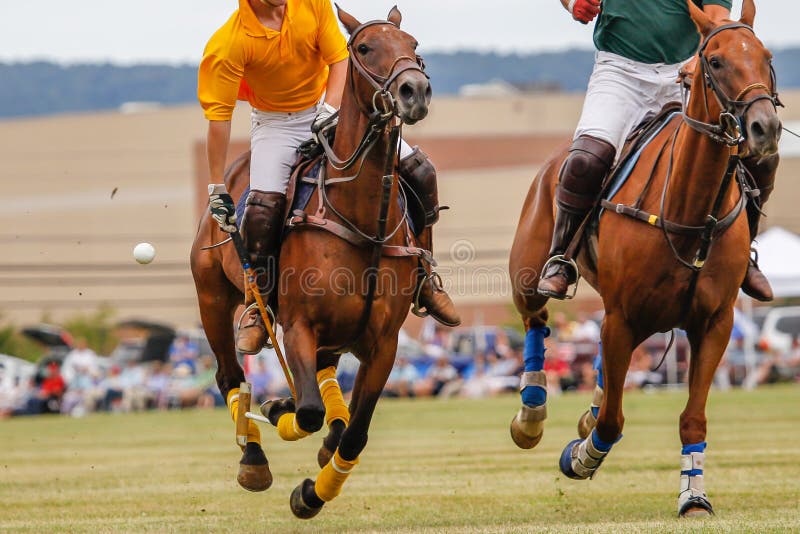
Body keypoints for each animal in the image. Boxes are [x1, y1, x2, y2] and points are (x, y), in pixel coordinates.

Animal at [190, 6, 432, 520]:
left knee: (324, 383)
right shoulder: (298, 325)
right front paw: (280, 414)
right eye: (365, 48)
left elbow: (354, 433)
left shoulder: (384, 343)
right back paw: (254, 457)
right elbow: (307, 412)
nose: (414, 91)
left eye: (413, 44)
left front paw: (312, 493)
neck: (363, 218)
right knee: (229, 375)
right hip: (212, 298)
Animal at [510, 0, 780, 520]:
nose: (765, 128)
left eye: (766, 56)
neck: (690, 210)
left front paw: (694, 496)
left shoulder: (715, 322)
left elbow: (692, 418)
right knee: (537, 316)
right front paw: (579, 458)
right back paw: (531, 415)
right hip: (526, 271)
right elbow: (613, 422)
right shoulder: (623, 317)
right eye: (715, 61)